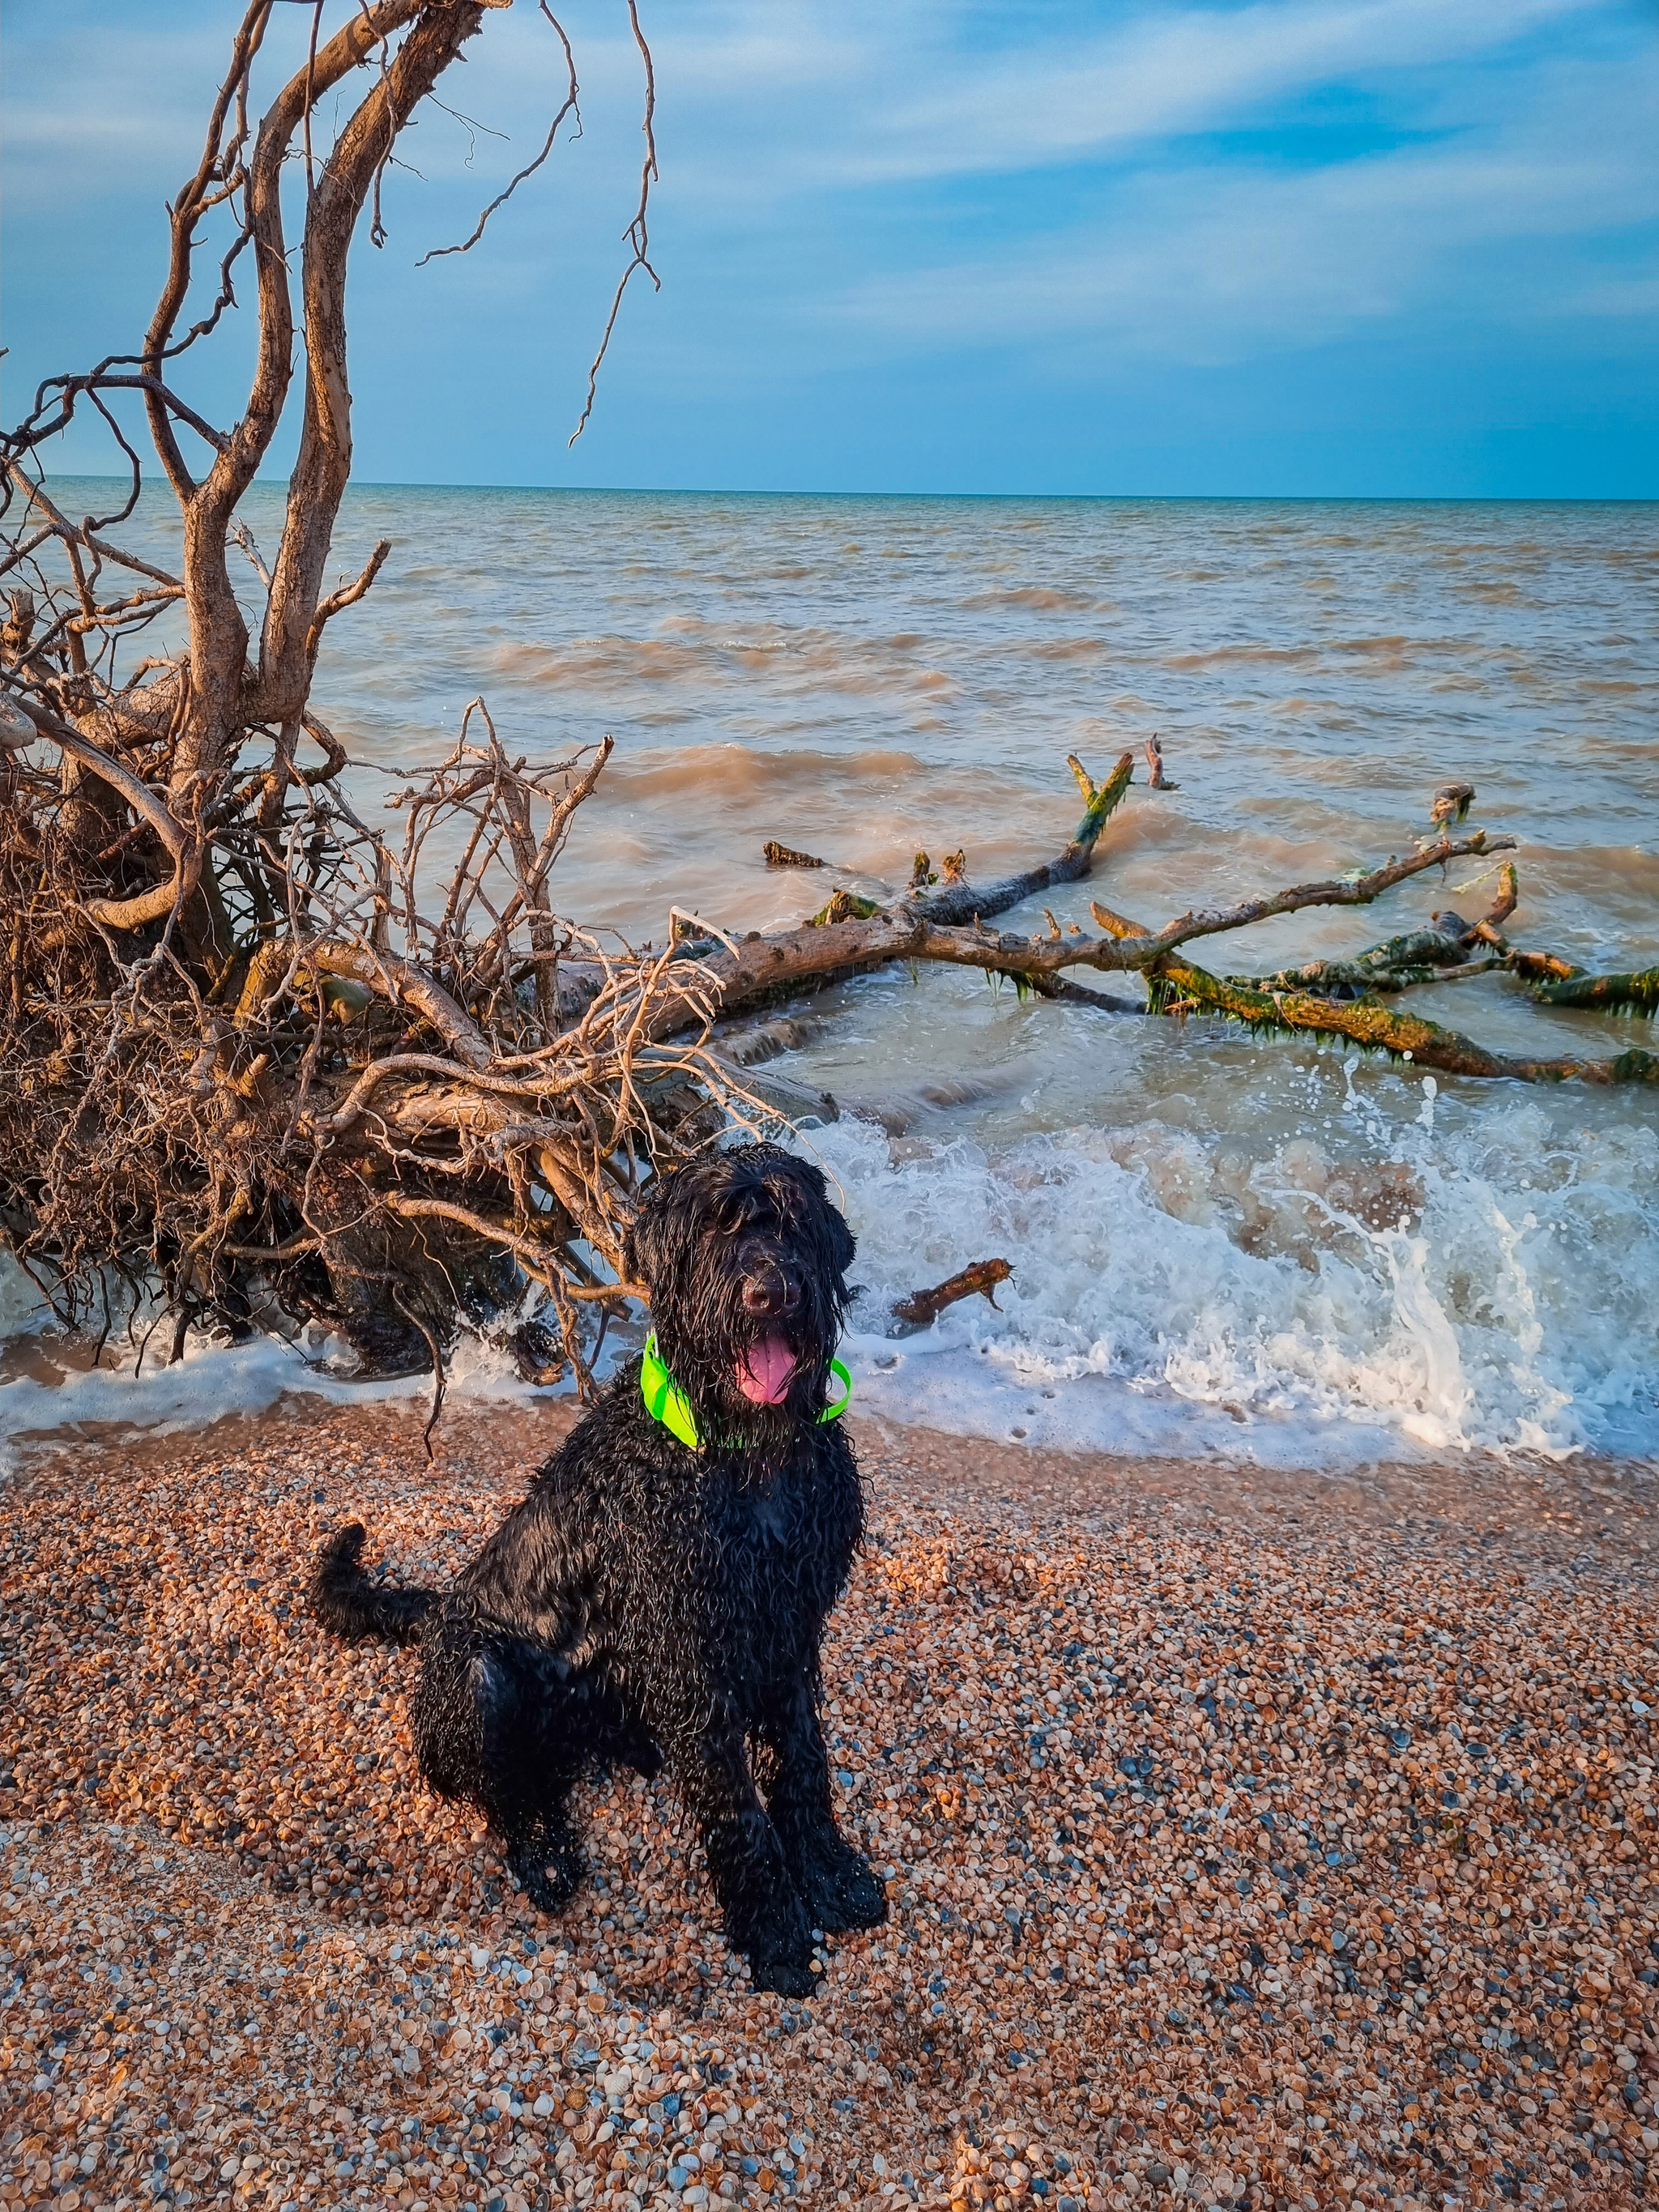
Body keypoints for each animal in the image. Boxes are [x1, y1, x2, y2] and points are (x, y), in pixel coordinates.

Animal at [309, 1150, 885, 1999]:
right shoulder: (692, 1660)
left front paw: (832, 1874)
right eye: (714, 1229)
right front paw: (776, 1930)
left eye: (794, 1223)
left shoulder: (790, 1631)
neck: (747, 1464)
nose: (769, 1291)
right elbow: (739, 1811)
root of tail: (443, 1609)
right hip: (479, 1681)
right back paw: (546, 1855)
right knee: (509, 1798)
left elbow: (805, 1766)